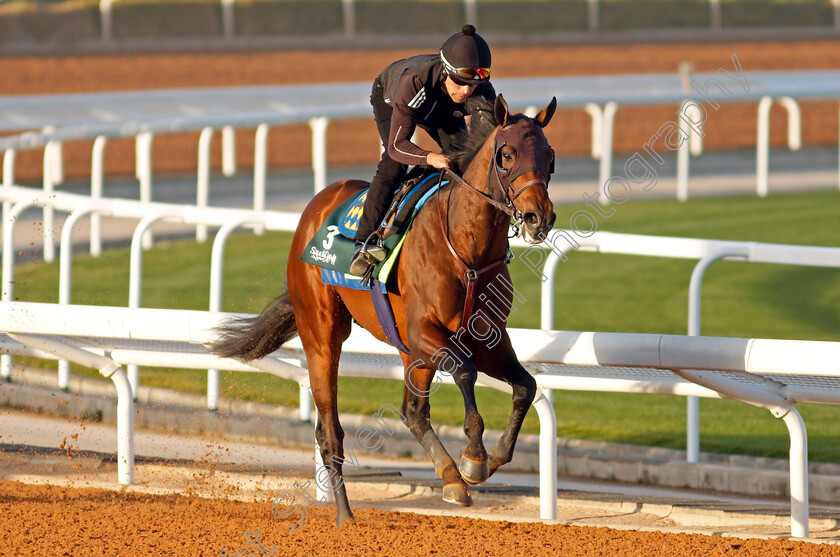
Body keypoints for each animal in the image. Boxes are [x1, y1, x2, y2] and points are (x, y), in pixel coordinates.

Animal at [213, 93, 556, 524]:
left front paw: (489, 460)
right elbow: (465, 371)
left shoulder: (485, 337)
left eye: (550, 155)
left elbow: (526, 387)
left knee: (412, 411)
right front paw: (475, 456)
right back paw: (345, 516)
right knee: (330, 432)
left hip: (407, 351)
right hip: (324, 334)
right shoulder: (426, 333)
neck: (467, 250)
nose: (538, 217)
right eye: (507, 154)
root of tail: (315, 207)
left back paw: (450, 479)